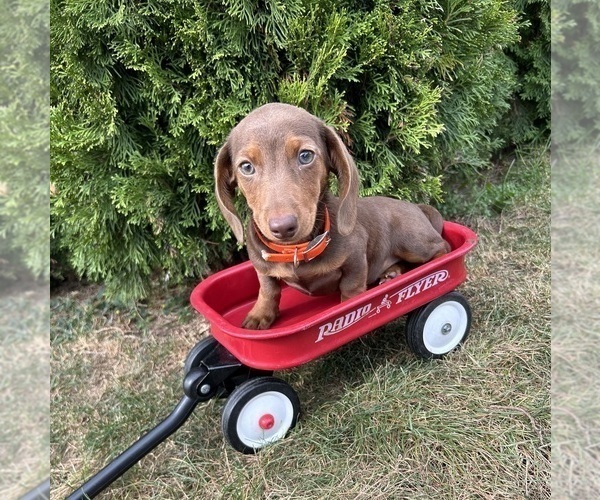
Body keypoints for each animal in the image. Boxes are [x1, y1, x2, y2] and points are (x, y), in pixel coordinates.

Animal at [216, 103, 450, 330]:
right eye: (246, 167)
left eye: (305, 156)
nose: (282, 227)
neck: (296, 250)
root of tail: (416, 207)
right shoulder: (262, 266)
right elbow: (268, 288)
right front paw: (260, 314)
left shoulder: (356, 256)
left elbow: (351, 289)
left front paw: (351, 311)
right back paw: (392, 272)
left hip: (413, 243)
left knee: (442, 247)